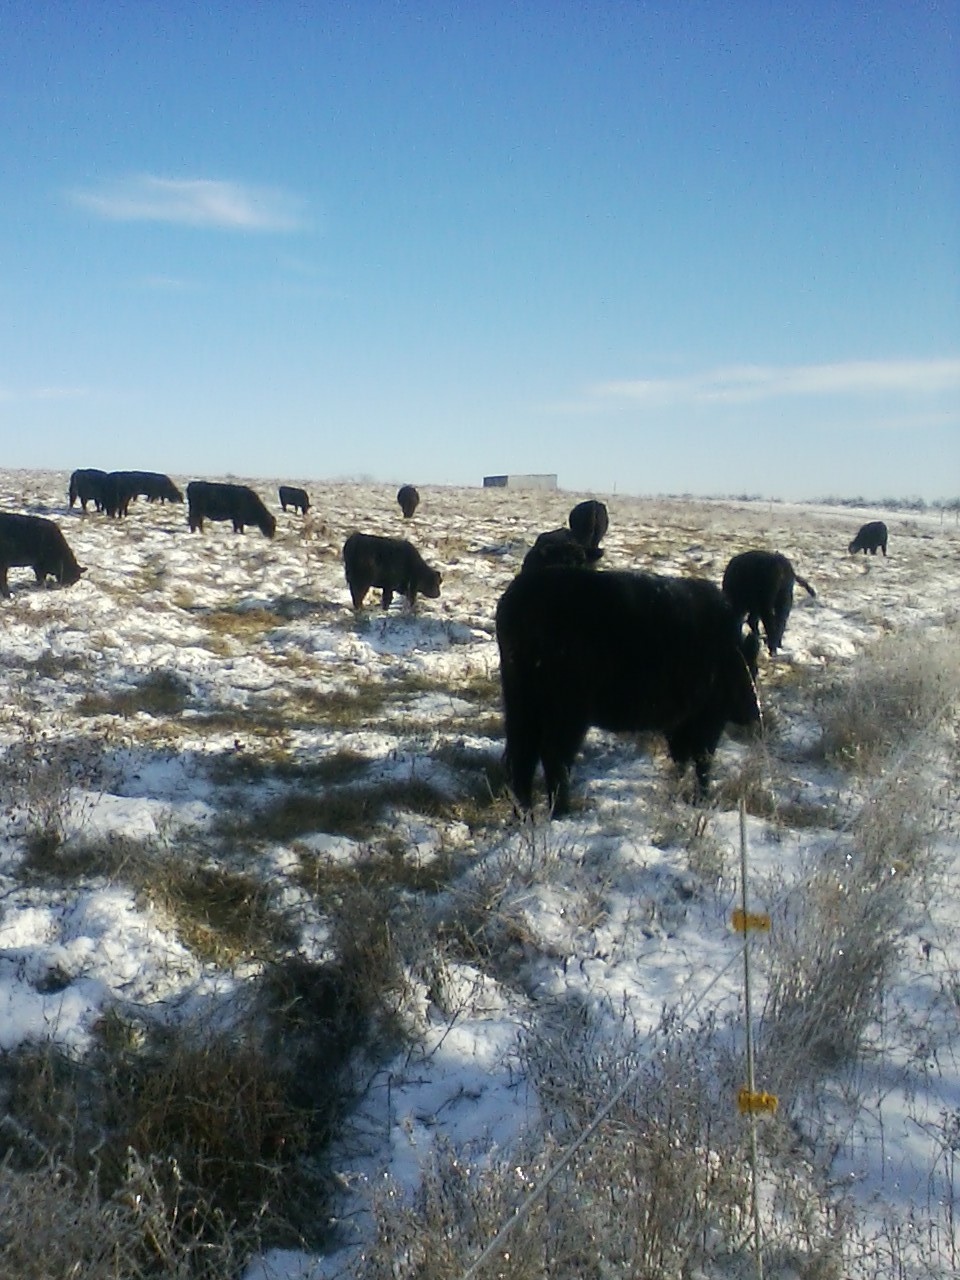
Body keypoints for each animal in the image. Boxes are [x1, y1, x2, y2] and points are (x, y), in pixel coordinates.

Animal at [496, 568, 757, 814]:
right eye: (753, 667)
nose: (754, 712)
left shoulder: (680, 723)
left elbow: (681, 760)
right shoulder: (707, 717)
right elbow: (702, 762)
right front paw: (700, 799)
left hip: (521, 704)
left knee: (521, 758)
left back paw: (525, 816)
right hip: (567, 712)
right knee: (552, 756)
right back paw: (561, 811)